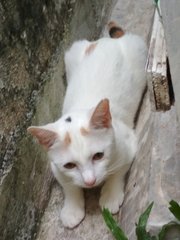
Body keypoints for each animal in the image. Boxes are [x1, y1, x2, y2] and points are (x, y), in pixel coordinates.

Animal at [27, 23, 147, 229]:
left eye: (99, 155)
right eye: (70, 165)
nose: (90, 182)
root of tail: (107, 41)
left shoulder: (129, 143)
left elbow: (119, 170)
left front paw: (110, 194)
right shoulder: (55, 166)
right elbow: (68, 185)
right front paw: (72, 208)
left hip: (141, 54)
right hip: (71, 54)